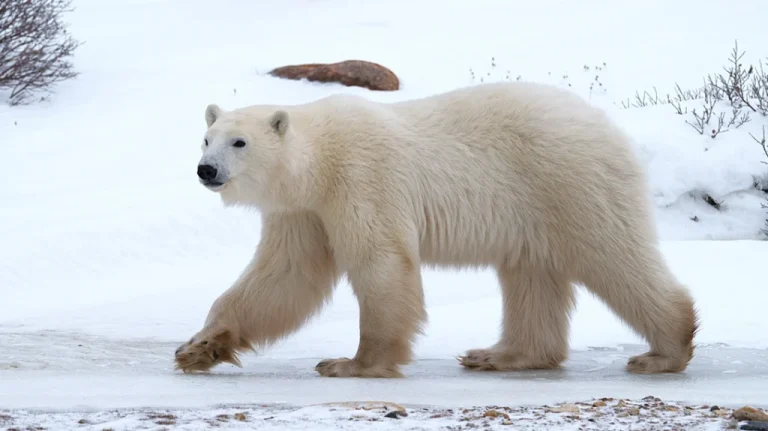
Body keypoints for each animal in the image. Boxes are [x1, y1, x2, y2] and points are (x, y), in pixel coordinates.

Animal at [174, 81, 698, 378]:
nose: (205, 170)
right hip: (534, 209)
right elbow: (284, 276)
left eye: (239, 142)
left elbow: (382, 263)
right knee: (532, 276)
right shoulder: (303, 212)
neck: (319, 162)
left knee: (613, 254)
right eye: (206, 138)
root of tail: (607, 125)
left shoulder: (360, 180)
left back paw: (662, 352)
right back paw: (499, 355)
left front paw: (352, 364)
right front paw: (197, 347)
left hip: (567, 180)